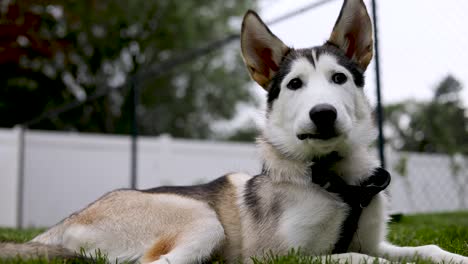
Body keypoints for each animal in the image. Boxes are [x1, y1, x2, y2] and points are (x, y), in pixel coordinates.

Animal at [0, 0, 468, 264]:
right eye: (294, 84)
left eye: (339, 78)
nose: (323, 114)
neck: (333, 178)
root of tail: (61, 223)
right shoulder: (282, 256)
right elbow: (358, 259)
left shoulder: (375, 242)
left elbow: (423, 251)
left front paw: (454, 256)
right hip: (202, 219)